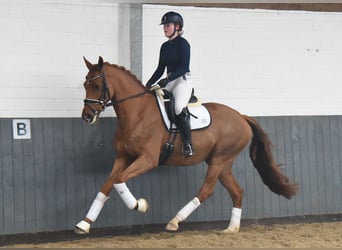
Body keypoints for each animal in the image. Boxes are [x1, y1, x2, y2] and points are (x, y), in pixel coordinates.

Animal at [74, 56, 296, 234]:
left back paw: (174, 221)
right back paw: (231, 228)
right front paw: (84, 224)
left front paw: (140, 205)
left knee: (206, 190)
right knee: (237, 191)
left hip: (219, 160)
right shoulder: (122, 158)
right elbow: (107, 185)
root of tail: (241, 117)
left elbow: (119, 181)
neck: (138, 113)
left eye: (96, 86)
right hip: (223, 164)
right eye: (85, 84)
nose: (87, 117)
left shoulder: (148, 160)